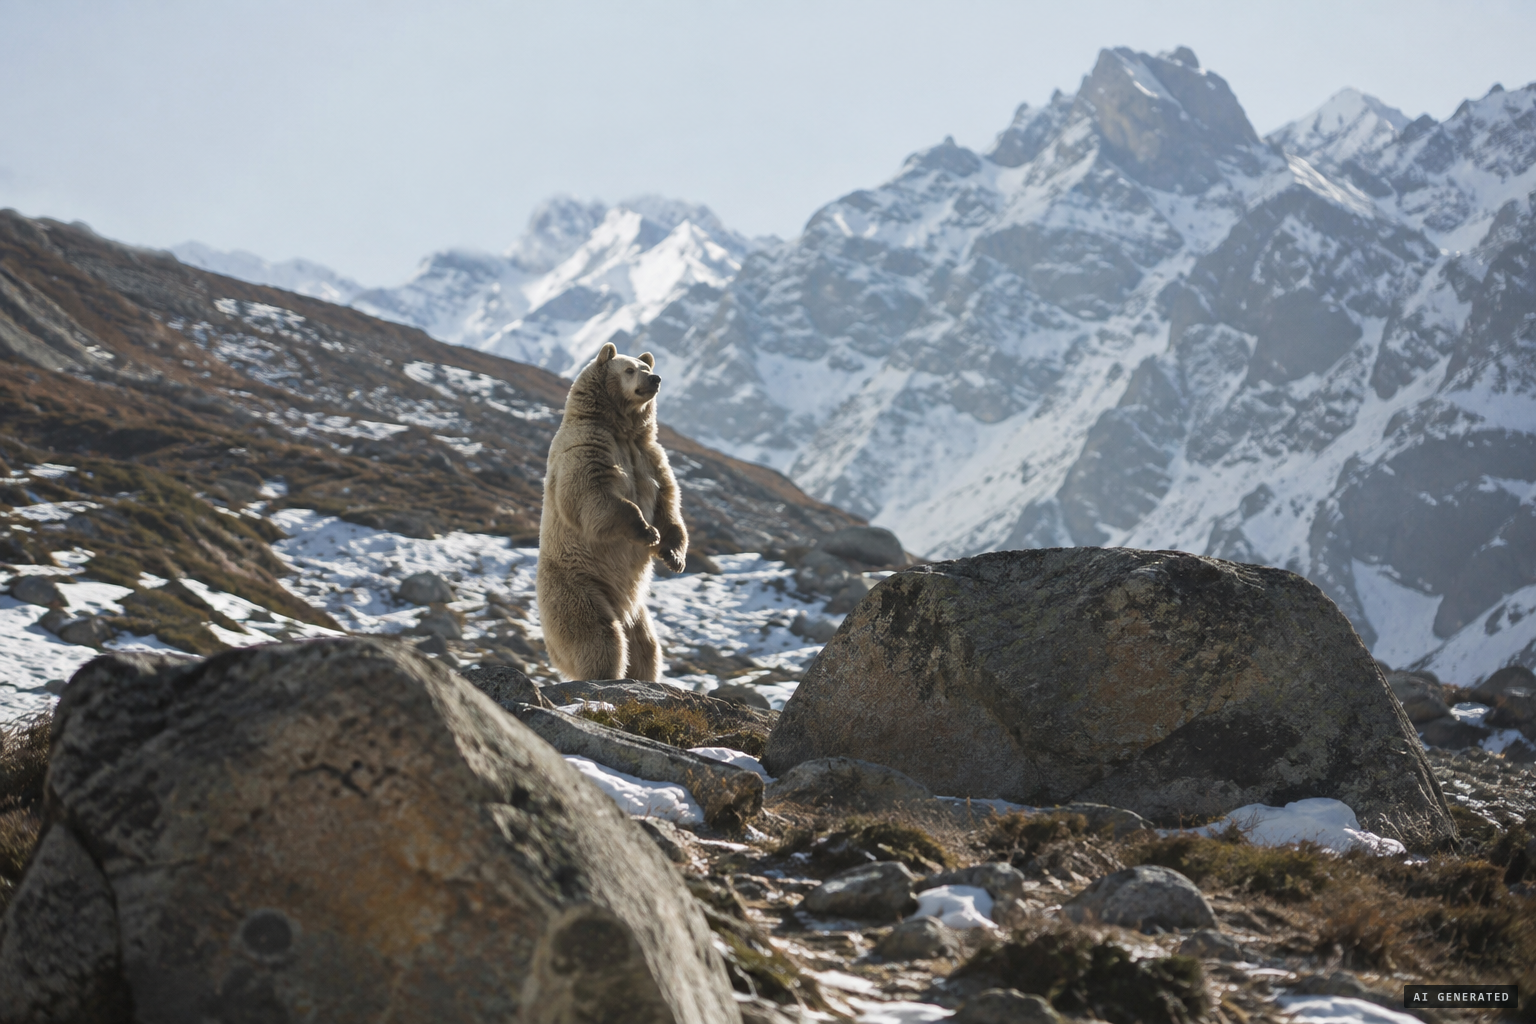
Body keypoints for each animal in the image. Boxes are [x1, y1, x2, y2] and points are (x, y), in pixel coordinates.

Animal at [536, 342, 687, 681]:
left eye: (646, 367)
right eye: (629, 370)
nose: (655, 379)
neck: (622, 429)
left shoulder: (650, 457)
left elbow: (669, 503)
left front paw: (673, 556)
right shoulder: (588, 447)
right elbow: (594, 495)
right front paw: (647, 531)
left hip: (636, 610)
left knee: (646, 645)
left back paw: (643, 675)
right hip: (577, 587)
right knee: (599, 635)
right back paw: (604, 674)